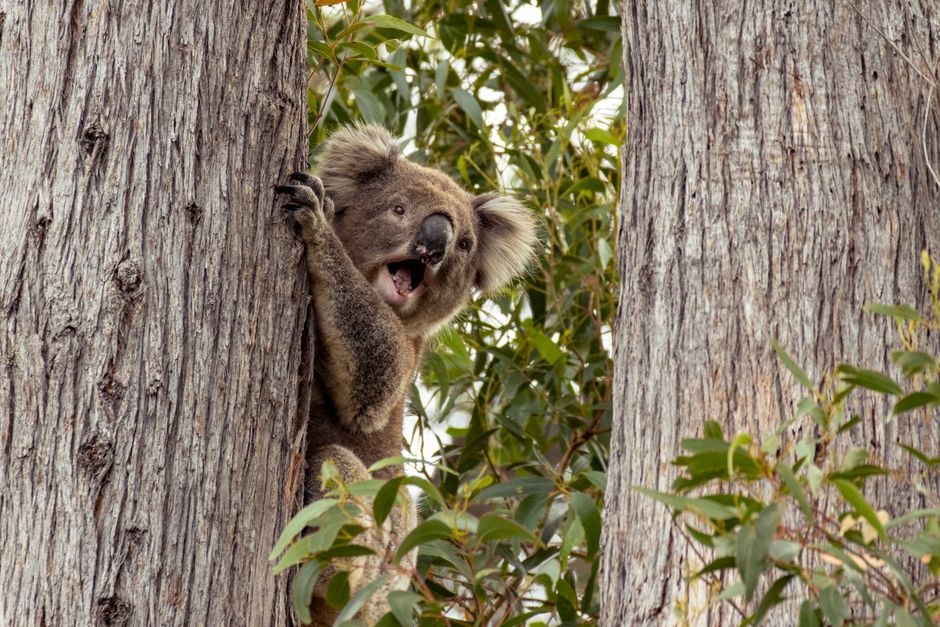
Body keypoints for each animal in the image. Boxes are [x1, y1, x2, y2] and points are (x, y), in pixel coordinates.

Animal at [276, 123, 537, 624]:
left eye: (464, 245)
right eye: (398, 209)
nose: (433, 246)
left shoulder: (404, 355)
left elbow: (371, 376)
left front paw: (317, 220)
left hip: (380, 554)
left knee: (337, 471)